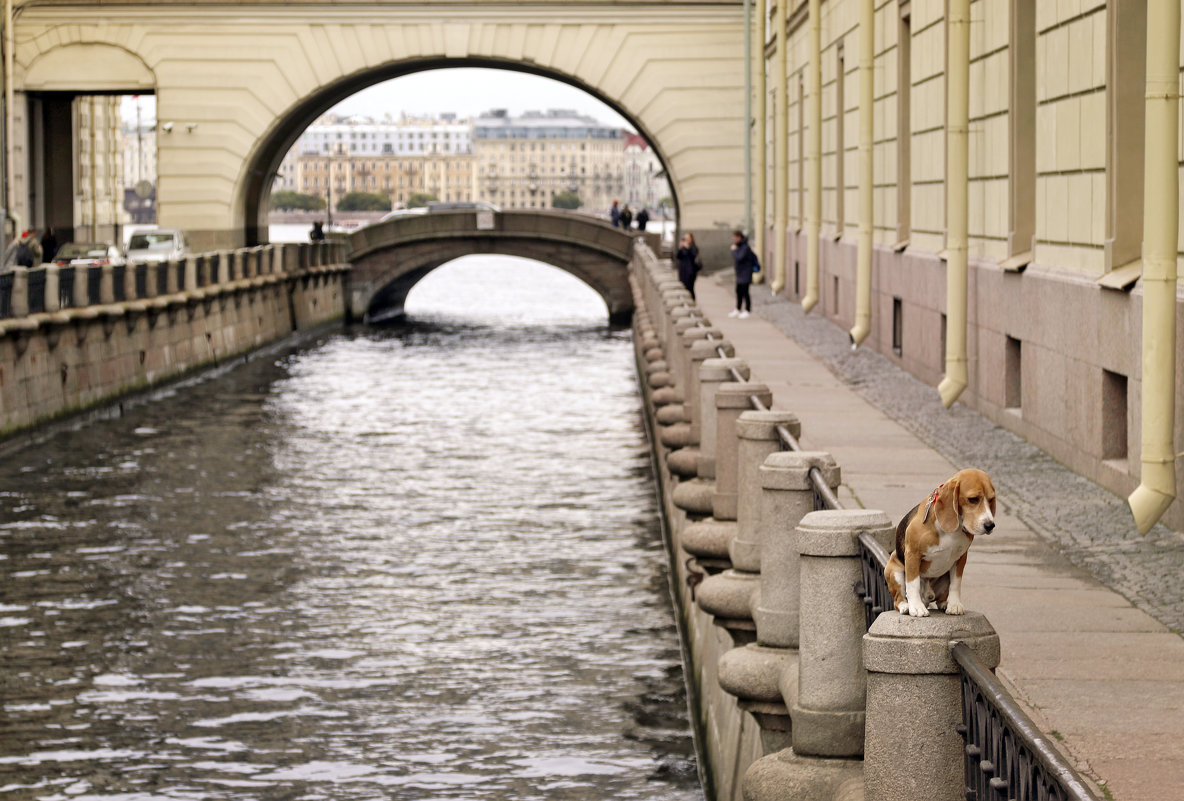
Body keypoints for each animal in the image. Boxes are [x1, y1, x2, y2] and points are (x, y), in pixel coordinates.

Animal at [885, 468, 994, 619]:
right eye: (973, 499)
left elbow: (956, 584)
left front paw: (954, 605)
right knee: (898, 599)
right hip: (894, 570)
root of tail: (927, 597)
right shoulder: (912, 554)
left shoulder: (961, 558)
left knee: (940, 597)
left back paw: (944, 603)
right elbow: (913, 584)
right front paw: (916, 607)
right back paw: (906, 606)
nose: (990, 525)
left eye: (991, 499)